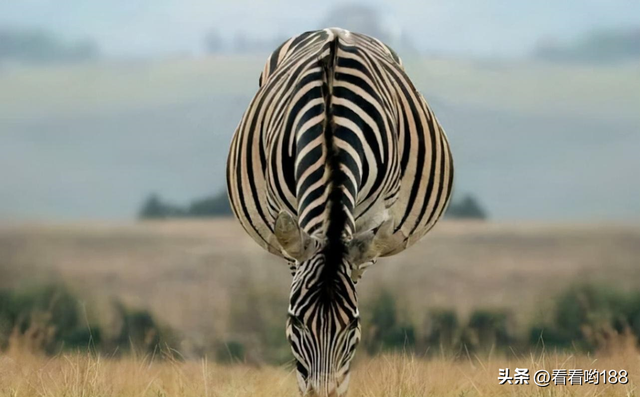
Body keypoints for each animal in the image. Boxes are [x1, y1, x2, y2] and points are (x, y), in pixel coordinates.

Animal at [228, 27, 452, 396]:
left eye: (353, 325)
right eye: (295, 322)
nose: (323, 393)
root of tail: (333, 30)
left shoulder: (370, 219)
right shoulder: (290, 221)